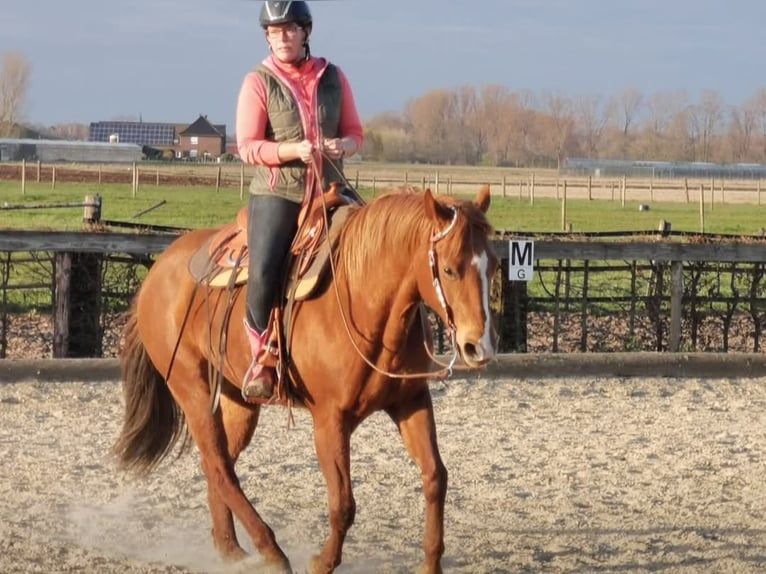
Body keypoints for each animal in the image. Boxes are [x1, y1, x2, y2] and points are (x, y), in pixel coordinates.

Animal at [113, 184, 499, 574]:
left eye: (494, 265)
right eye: (449, 269)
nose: (479, 346)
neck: (363, 296)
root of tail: (159, 269)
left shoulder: (411, 402)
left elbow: (436, 477)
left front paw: (430, 563)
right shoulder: (330, 419)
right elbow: (343, 502)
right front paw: (323, 561)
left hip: (238, 399)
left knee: (216, 464)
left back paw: (230, 550)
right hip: (192, 389)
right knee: (220, 466)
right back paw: (271, 550)